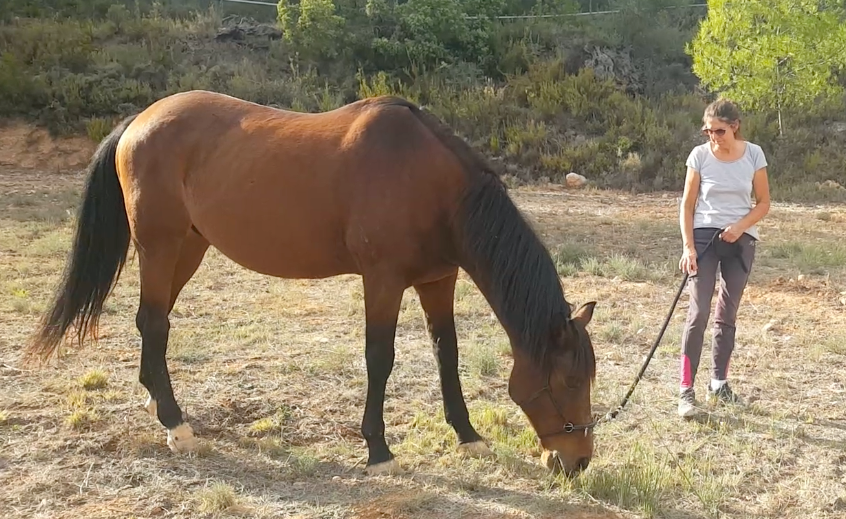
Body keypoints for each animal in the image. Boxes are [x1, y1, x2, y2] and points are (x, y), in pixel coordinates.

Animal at [24, 88, 596, 476]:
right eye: (569, 381)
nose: (576, 461)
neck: (432, 186)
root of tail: (139, 120)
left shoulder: (439, 280)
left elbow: (446, 353)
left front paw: (468, 435)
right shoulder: (383, 281)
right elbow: (380, 358)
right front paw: (378, 450)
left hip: (189, 247)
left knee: (155, 321)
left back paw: (157, 405)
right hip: (159, 246)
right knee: (153, 322)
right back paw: (175, 424)